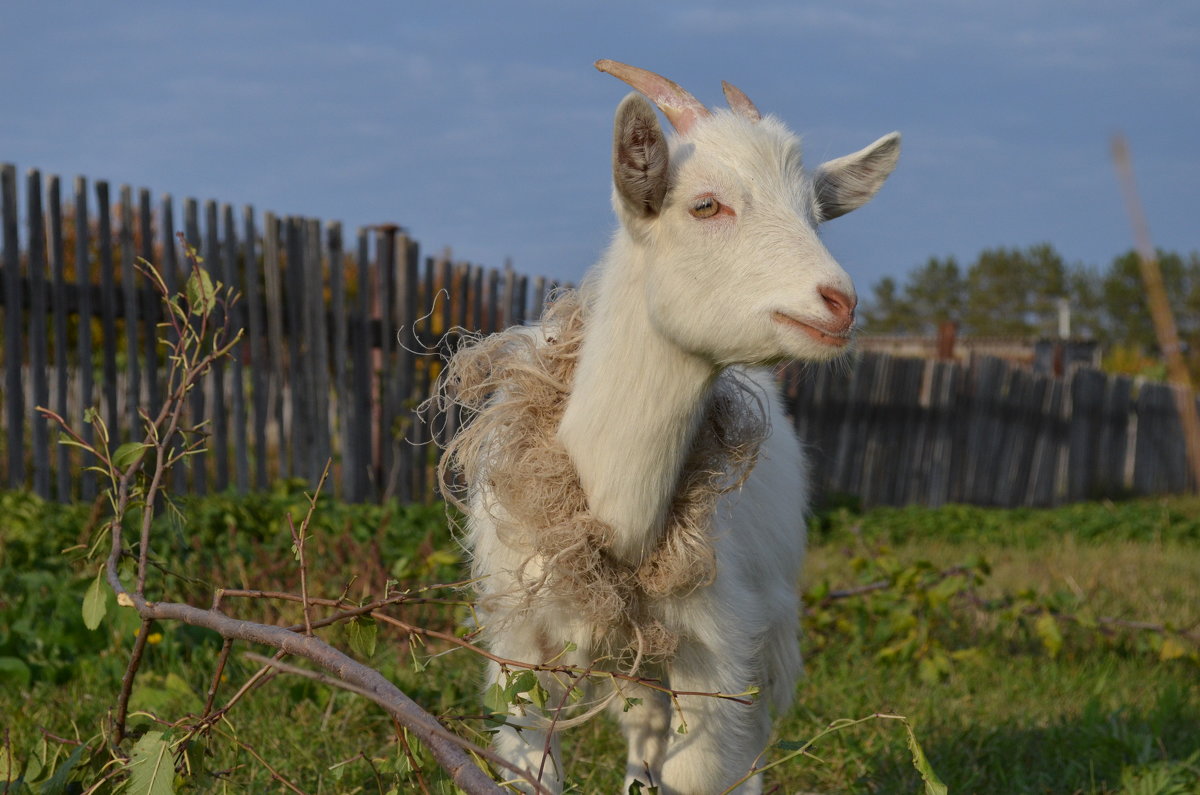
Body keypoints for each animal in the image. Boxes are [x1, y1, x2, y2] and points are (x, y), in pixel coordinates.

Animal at [441, 59, 902, 792]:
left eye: (816, 214)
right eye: (705, 204)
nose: (839, 302)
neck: (617, 514)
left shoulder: (717, 641)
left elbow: (700, 768)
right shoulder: (518, 635)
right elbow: (529, 758)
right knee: (644, 724)